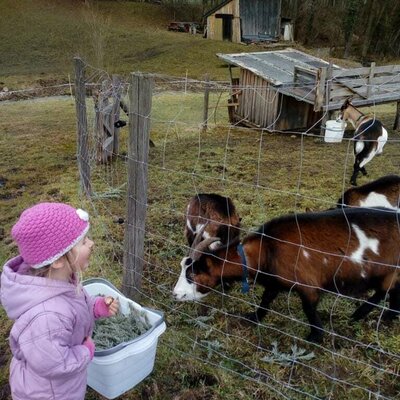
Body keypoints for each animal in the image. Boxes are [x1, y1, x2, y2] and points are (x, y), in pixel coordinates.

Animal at [173, 208, 400, 342]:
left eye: (193, 273)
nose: (175, 294)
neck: (268, 248)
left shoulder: (308, 285)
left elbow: (308, 308)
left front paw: (315, 336)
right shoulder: (275, 281)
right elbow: (266, 299)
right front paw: (253, 317)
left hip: (389, 271)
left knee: (383, 291)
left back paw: (359, 315)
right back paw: (388, 316)